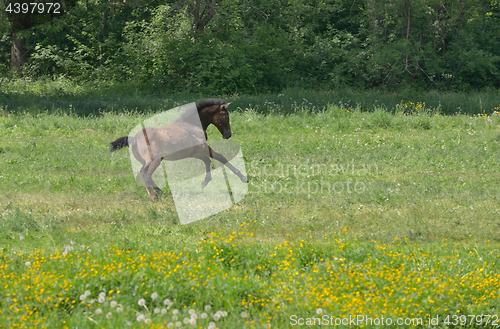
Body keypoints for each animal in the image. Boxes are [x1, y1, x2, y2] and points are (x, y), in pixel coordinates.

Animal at [110, 97, 249, 200]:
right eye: (226, 116)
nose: (228, 135)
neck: (192, 124)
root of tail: (133, 138)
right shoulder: (203, 147)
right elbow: (220, 157)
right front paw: (243, 178)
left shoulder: (193, 152)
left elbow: (207, 160)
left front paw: (205, 182)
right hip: (154, 160)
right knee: (145, 173)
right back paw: (153, 197)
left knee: (145, 174)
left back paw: (160, 192)